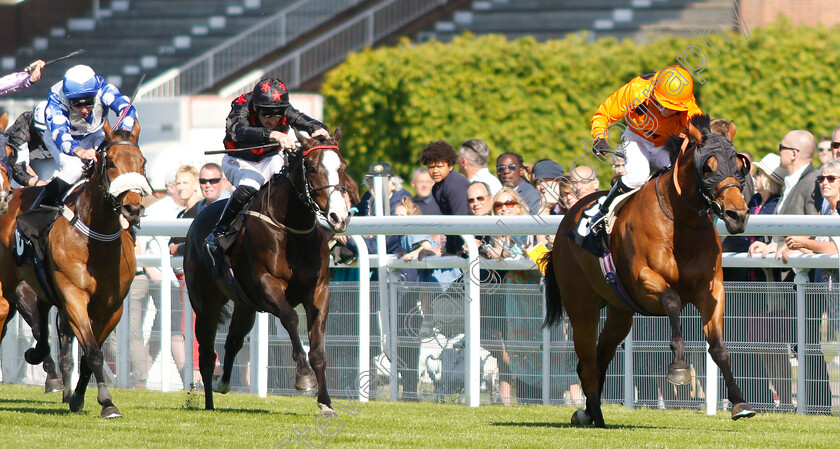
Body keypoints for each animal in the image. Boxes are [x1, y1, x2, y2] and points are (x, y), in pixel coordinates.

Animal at [0, 120, 149, 416]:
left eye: (143, 162)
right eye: (111, 163)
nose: (133, 208)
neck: (96, 240)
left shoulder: (112, 307)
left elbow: (90, 354)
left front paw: (79, 398)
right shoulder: (73, 296)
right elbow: (93, 351)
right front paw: (107, 402)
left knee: (42, 322)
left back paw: (39, 357)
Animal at [185, 128, 360, 414]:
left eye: (343, 167)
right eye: (313, 168)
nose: (339, 217)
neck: (291, 230)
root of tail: (197, 220)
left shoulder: (319, 291)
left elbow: (318, 349)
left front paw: (325, 402)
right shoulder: (266, 284)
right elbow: (290, 318)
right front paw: (304, 377)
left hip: (244, 305)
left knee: (234, 339)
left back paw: (224, 383)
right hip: (206, 304)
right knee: (207, 354)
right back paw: (209, 402)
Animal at [544, 114, 756, 428]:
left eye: (741, 166)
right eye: (707, 167)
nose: (737, 215)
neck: (679, 224)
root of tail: (567, 218)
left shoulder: (711, 289)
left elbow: (718, 346)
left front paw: (740, 403)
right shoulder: (644, 281)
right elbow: (672, 301)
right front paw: (679, 367)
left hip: (619, 313)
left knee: (599, 357)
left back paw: (589, 412)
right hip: (581, 307)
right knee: (587, 362)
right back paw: (595, 416)